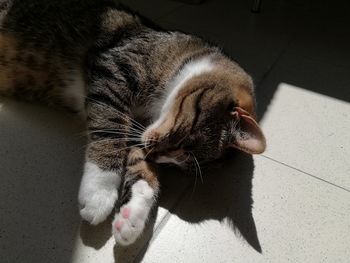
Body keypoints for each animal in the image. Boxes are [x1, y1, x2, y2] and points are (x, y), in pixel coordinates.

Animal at [0, 0, 266, 248]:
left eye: (175, 166)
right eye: (184, 139)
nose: (154, 154)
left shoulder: (139, 131)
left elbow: (139, 165)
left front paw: (132, 216)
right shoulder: (115, 68)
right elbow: (111, 126)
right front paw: (99, 192)